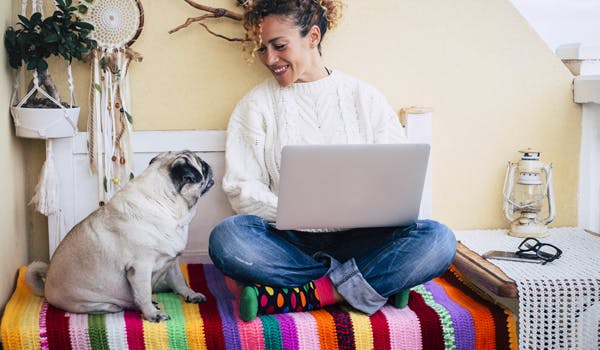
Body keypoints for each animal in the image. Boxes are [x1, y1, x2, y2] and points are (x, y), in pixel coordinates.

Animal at [24, 150, 216, 322]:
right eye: (202, 166)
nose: (208, 165)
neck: (165, 204)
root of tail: (46, 287)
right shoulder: (140, 268)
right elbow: (144, 293)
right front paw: (152, 314)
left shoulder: (172, 262)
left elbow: (180, 281)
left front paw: (190, 294)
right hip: (91, 302)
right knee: (115, 304)